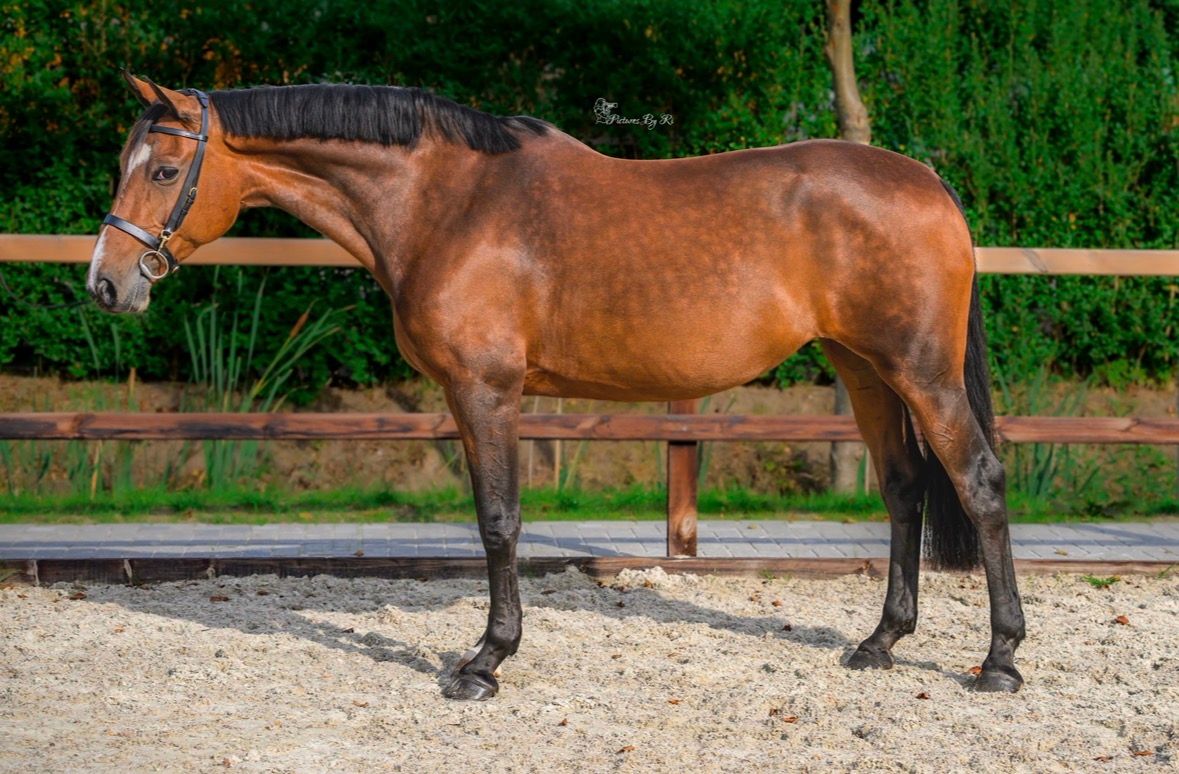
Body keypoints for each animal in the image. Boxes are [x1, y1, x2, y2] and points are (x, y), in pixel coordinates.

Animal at [88, 73, 1025, 701]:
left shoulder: (486, 391)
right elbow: (491, 519)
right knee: (903, 490)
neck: (447, 202)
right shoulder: (469, 397)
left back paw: (998, 660)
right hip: (863, 369)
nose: (106, 283)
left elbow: (499, 522)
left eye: (163, 172)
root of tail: (926, 181)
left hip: (920, 373)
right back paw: (879, 643)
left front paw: (484, 662)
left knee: (976, 483)